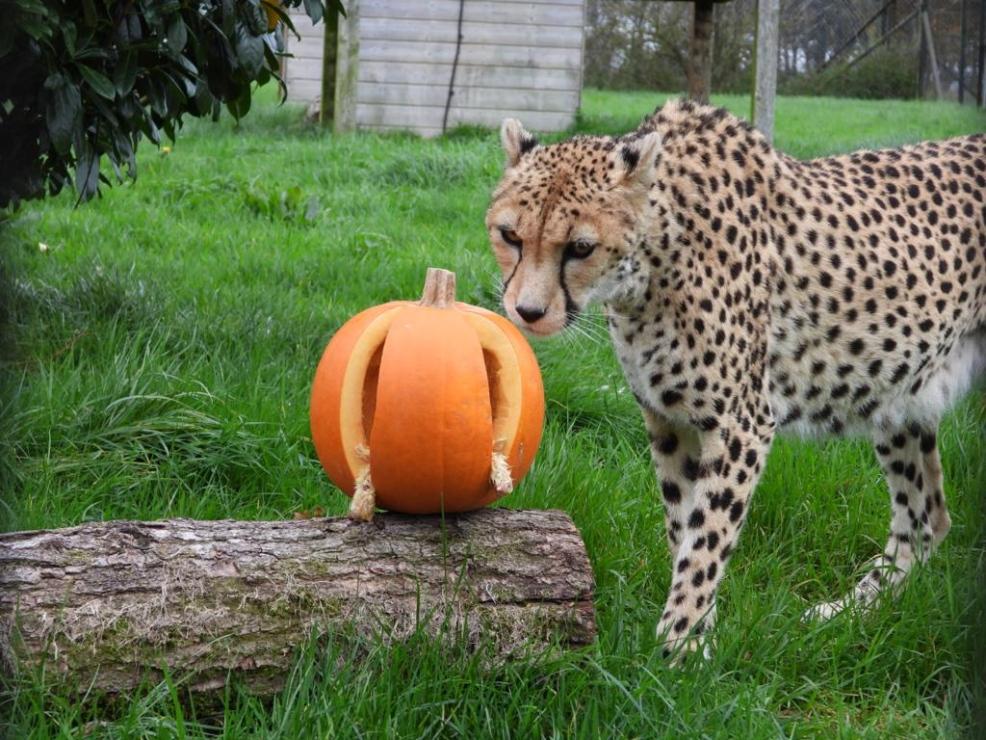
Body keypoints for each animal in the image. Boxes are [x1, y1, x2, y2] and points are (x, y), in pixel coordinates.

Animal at [484, 98, 986, 658]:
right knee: (927, 518)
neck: (652, 262)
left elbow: (705, 540)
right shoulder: (669, 419)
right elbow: (683, 526)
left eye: (580, 247)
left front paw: (675, 652)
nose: (527, 312)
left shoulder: (739, 424)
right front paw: (700, 640)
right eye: (510, 236)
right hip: (898, 391)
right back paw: (847, 614)